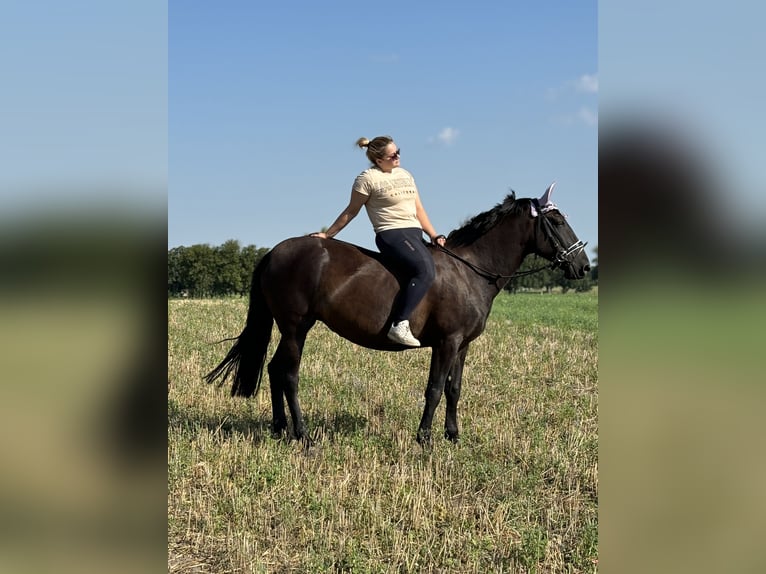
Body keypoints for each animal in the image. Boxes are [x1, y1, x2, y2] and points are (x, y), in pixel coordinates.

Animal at [207, 184, 592, 446]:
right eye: (557, 220)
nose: (584, 266)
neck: (470, 269)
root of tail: (275, 251)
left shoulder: (463, 345)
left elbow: (454, 389)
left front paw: (454, 435)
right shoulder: (446, 342)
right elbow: (434, 388)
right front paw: (425, 439)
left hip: (290, 329)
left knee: (274, 370)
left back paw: (279, 428)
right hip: (295, 327)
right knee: (288, 374)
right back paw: (303, 435)